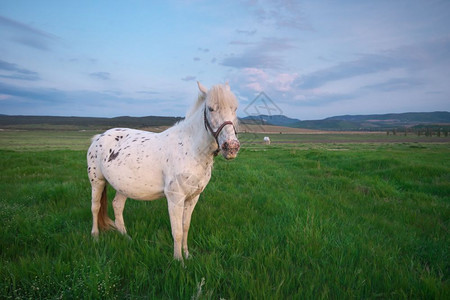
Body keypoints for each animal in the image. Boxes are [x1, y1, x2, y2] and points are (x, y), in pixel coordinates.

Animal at [87, 82, 239, 260]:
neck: (190, 148)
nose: (231, 147)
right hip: (97, 181)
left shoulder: (193, 197)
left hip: (123, 186)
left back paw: (126, 237)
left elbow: (185, 227)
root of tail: (99, 136)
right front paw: (178, 260)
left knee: (117, 206)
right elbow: (177, 231)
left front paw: (187, 254)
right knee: (95, 207)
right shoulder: (175, 197)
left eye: (235, 108)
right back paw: (95, 237)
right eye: (211, 108)